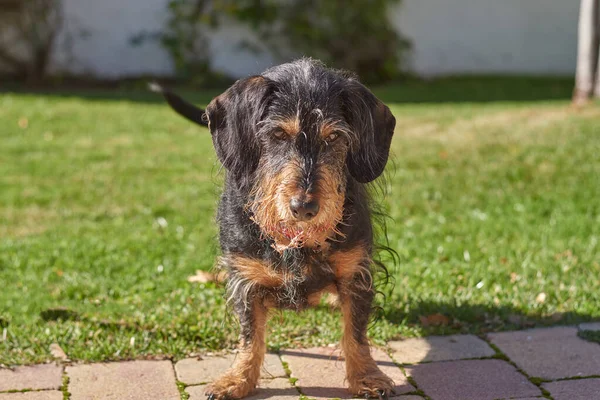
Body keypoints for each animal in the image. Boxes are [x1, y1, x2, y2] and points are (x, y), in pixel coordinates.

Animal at [152, 57, 396, 398]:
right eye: (278, 134)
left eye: (334, 137)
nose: (304, 207)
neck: (296, 242)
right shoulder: (246, 279)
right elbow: (250, 337)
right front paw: (237, 379)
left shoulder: (355, 273)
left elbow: (356, 332)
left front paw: (367, 377)